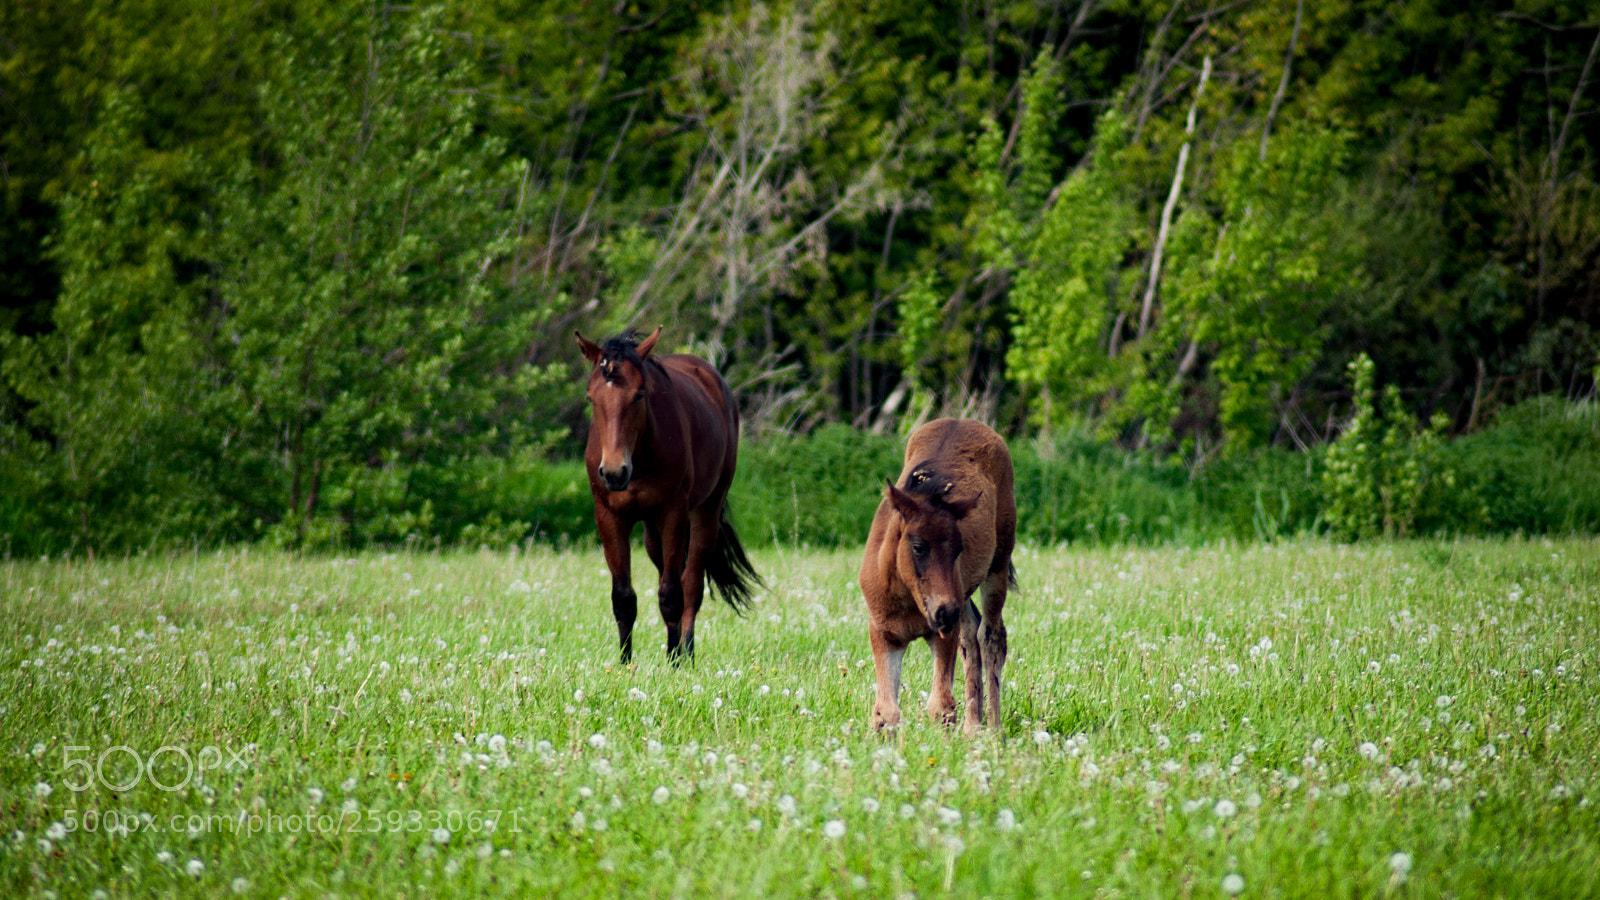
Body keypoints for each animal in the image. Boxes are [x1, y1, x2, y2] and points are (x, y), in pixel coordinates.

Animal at [574, 326, 761, 664]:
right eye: (591, 397)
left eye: (639, 394)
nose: (614, 472)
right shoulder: (609, 516)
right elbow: (623, 597)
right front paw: (624, 664)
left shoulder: (674, 513)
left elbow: (673, 593)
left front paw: (674, 661)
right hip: (652, 531)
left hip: (705, 512)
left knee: (691, 584)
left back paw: (686, 652)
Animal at [858, 418, 1016, 734]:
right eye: (918, 546)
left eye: (959, 548)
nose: (944, 611)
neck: (906, 597)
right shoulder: (883, 634)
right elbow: (886, 712)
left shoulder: (943, 635)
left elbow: (941, 705)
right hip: (963, 596)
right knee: (971, 635)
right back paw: (972, 727)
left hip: (997, 565)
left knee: (990, 636)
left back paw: (993, 731)